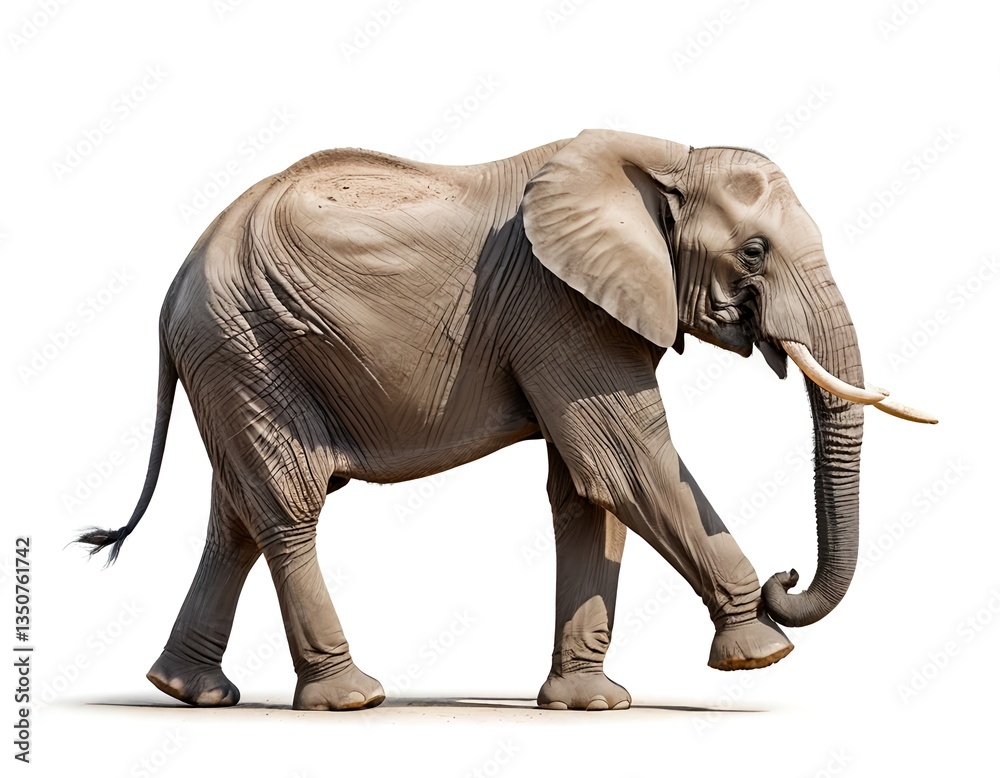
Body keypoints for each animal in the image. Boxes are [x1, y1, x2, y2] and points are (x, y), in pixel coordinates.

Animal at [77, 129, 934, 712]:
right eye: (754, 252)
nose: (786, 579)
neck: (665, 157)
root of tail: (176, 282)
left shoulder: (578, 313)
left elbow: (587, 492)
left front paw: (592, 705)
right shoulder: (560, 307)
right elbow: (626, 464)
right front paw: (762, 654)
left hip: (235, 360)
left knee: (237, 519)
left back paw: (188, 690)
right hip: (247, 347)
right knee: (288, 508)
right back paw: (350, 697)